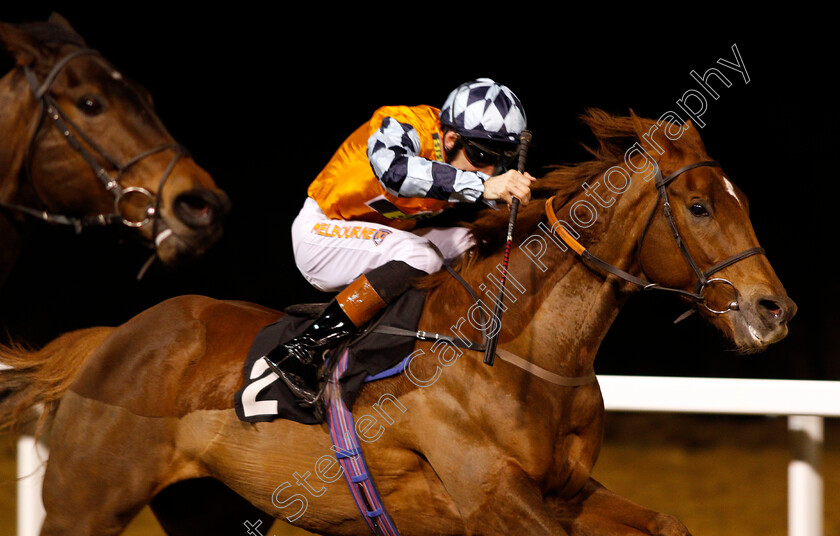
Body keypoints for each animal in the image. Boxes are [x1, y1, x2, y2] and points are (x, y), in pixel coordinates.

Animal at [0, 110, 796, 536]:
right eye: (699, 206)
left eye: (741, 200)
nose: (775, 310)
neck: (522, 353)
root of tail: (113, 339)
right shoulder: (492, 500)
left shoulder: (567, 494)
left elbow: (668, 523)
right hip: (85, 503)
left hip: (206, 506)